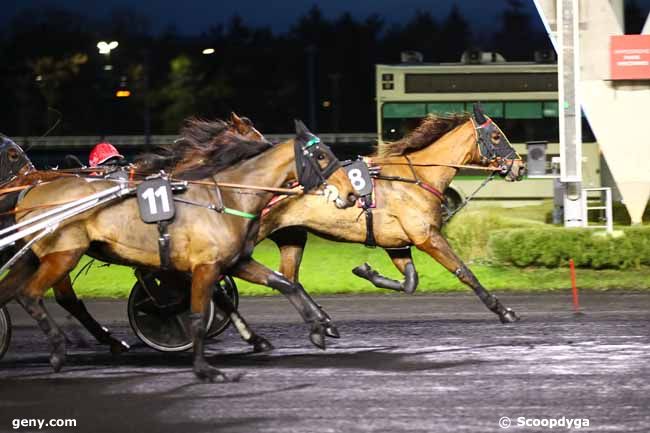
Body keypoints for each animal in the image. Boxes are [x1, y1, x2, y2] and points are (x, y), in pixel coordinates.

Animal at [0, 120, 354, 378]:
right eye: (322, 155)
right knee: (39, 295)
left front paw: (319, 327)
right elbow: (197, 308)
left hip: (40, 256)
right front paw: (208, 361)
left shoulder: (232, 260)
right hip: (63, 254)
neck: (224, 195)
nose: (350, 194)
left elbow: (283, 283)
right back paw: (64, 350)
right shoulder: (200, 265)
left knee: (18, 292)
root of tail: (30, 191)